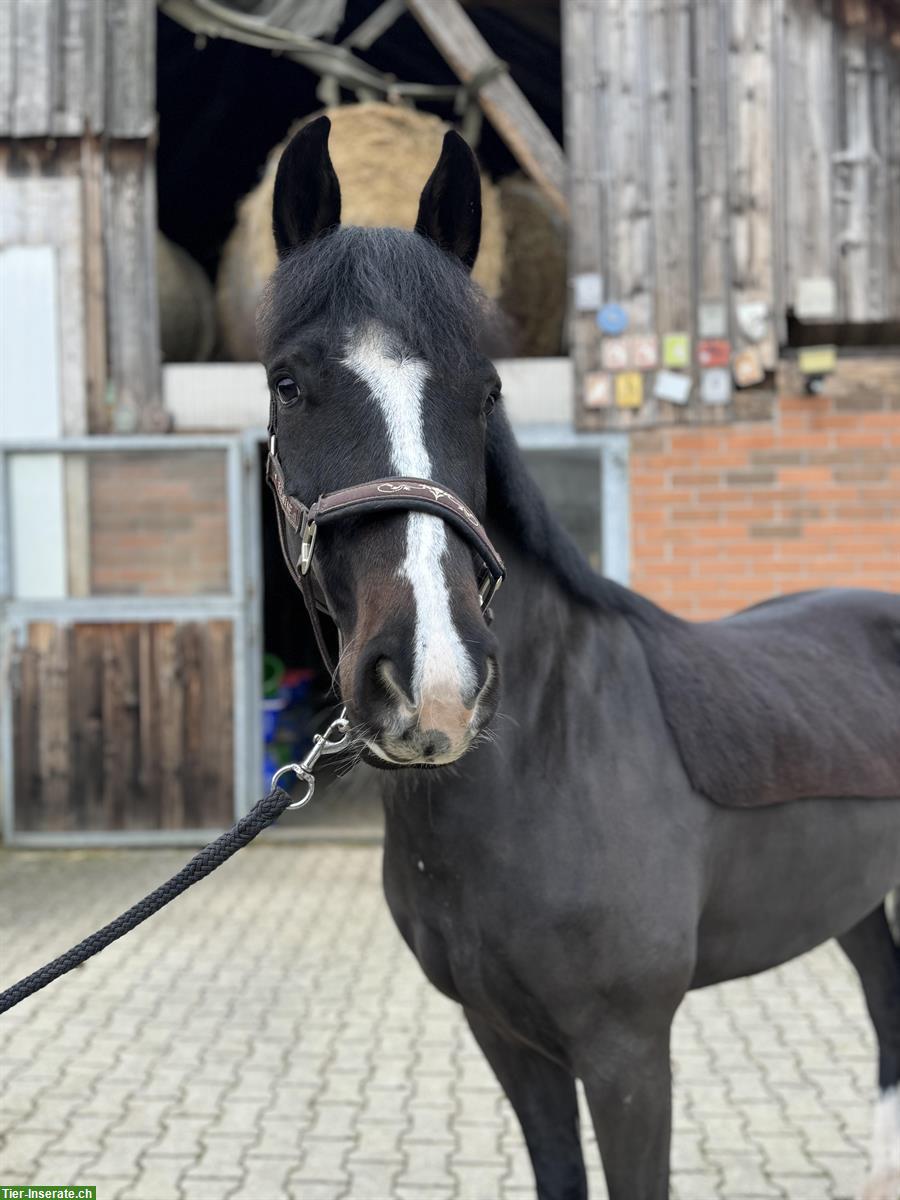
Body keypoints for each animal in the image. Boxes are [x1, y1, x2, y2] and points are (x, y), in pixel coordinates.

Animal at [259, 114, 900, 1200]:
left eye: (486, 392)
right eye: (289, 384)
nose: (433, 685)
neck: (549, 758)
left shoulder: (628, 1053)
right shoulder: (507, 1038)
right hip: (853, 900)